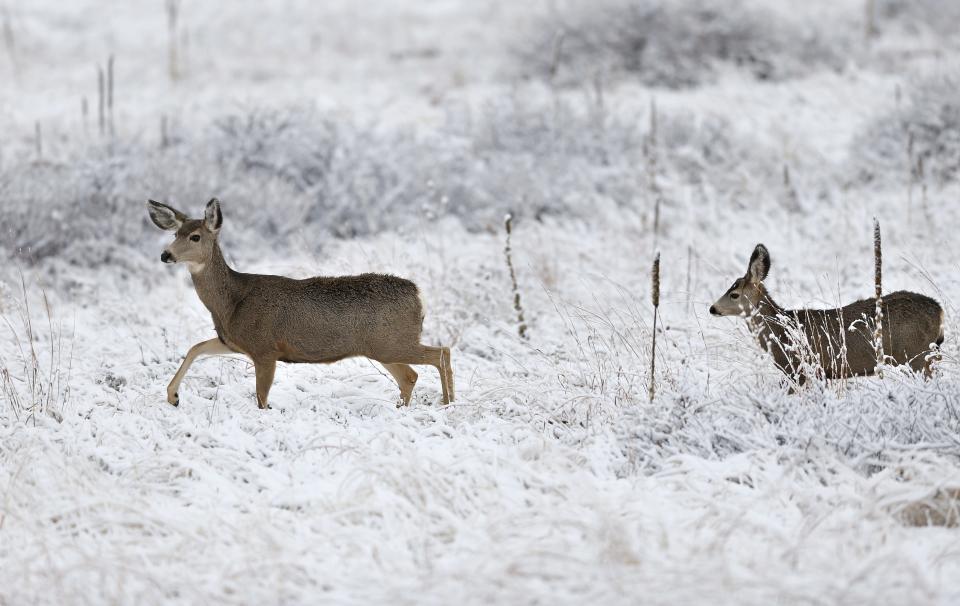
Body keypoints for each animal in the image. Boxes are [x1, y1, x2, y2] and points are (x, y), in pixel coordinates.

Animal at [146, 198, 454, 408]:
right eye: (175, 234)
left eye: (195, 236)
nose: (165, 255)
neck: (232, 302)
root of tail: (419, 295)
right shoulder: (232, 341)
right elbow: (195, 348)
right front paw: (173, 396)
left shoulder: (265, 348)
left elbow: (261, 397)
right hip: (382, 347)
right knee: (410, 376)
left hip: (392, 342)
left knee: (441, 353)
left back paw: (447, 403)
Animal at [708, 245, 940, 388]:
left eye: (734, 294)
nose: (712, 308)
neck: (781, 333)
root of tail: (939, 310)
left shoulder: (800, 369)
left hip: (917, 355)